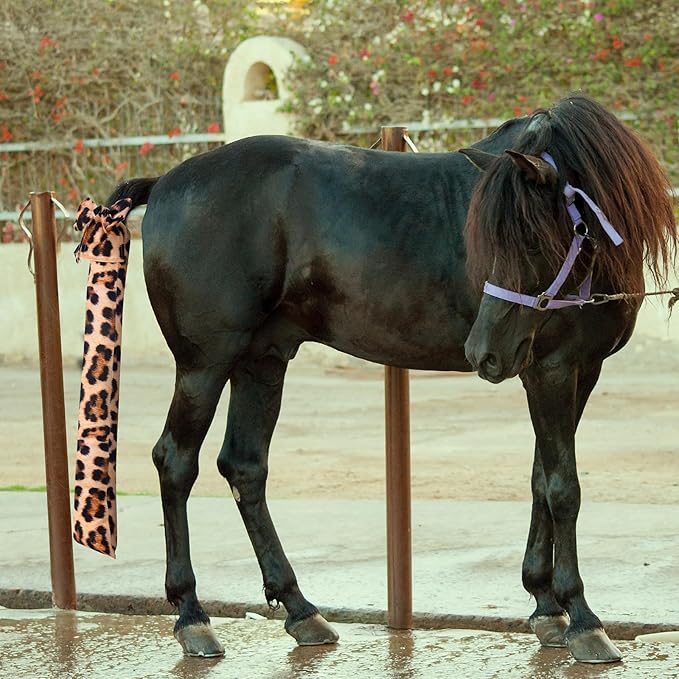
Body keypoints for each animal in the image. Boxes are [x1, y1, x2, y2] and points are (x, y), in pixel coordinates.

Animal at [105, 94, 675, 664]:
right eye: (491, 237)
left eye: (533, 240)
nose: (483, 353)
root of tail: (167, 183)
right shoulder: (550, 368)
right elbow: (562, 487)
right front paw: (581, 618)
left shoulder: (580, 370)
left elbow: (540, 478)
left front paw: (545, 605)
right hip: (204, 365)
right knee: (176, 462)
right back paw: (192, 616)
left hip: (261, 361)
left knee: (245, 467)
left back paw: (301, 610)